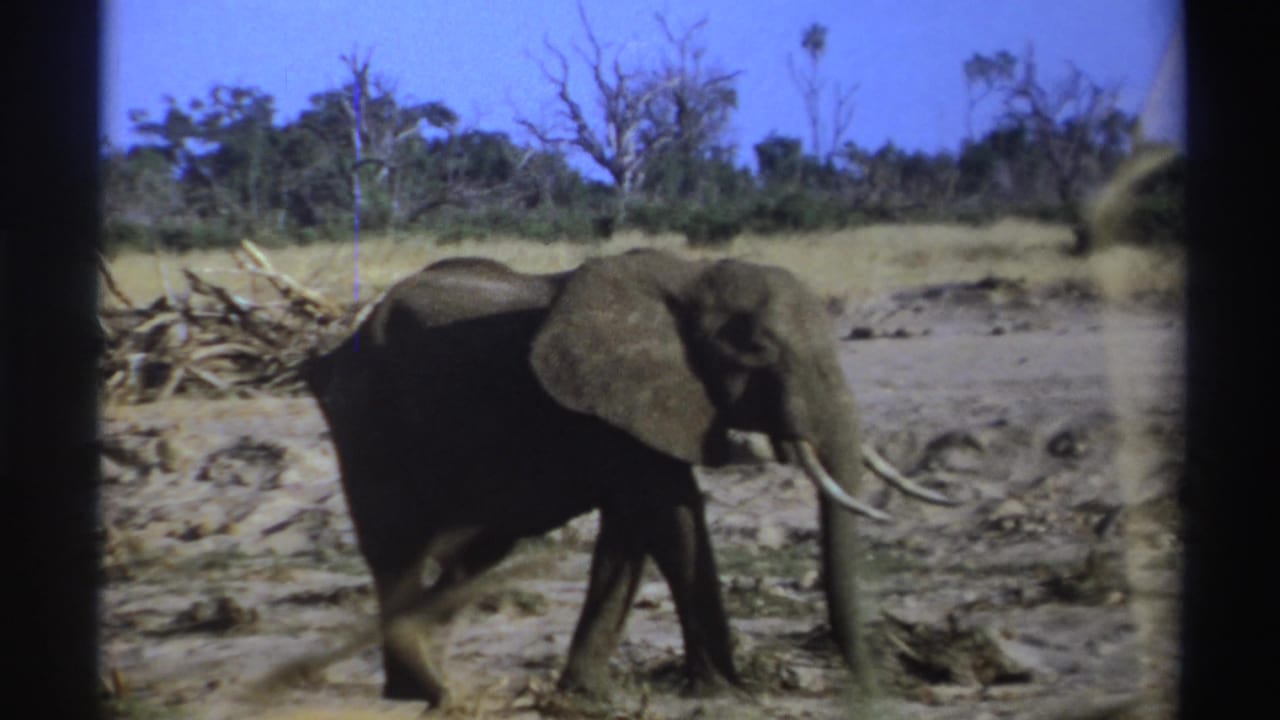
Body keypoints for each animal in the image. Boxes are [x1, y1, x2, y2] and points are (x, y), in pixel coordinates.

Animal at [302, 249, 952, 708]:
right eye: (757, 349)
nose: (873, 693)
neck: (692, 277)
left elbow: (635, 529)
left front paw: (588, 695)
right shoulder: (616, 406)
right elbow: (673, 516)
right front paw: (727, 691)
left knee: (475, 553)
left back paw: (415, 679)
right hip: (370, 422)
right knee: (396, 551)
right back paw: (429, 692)